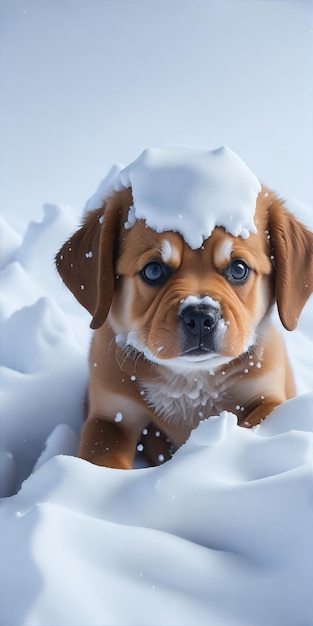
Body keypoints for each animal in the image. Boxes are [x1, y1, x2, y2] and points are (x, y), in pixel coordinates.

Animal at [56, 149, 312, 466]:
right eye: (153, 271)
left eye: (239, 269)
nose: (201, 317)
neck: (190, 385)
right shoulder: (110, 415)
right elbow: (103, 458)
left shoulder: (268, 395)